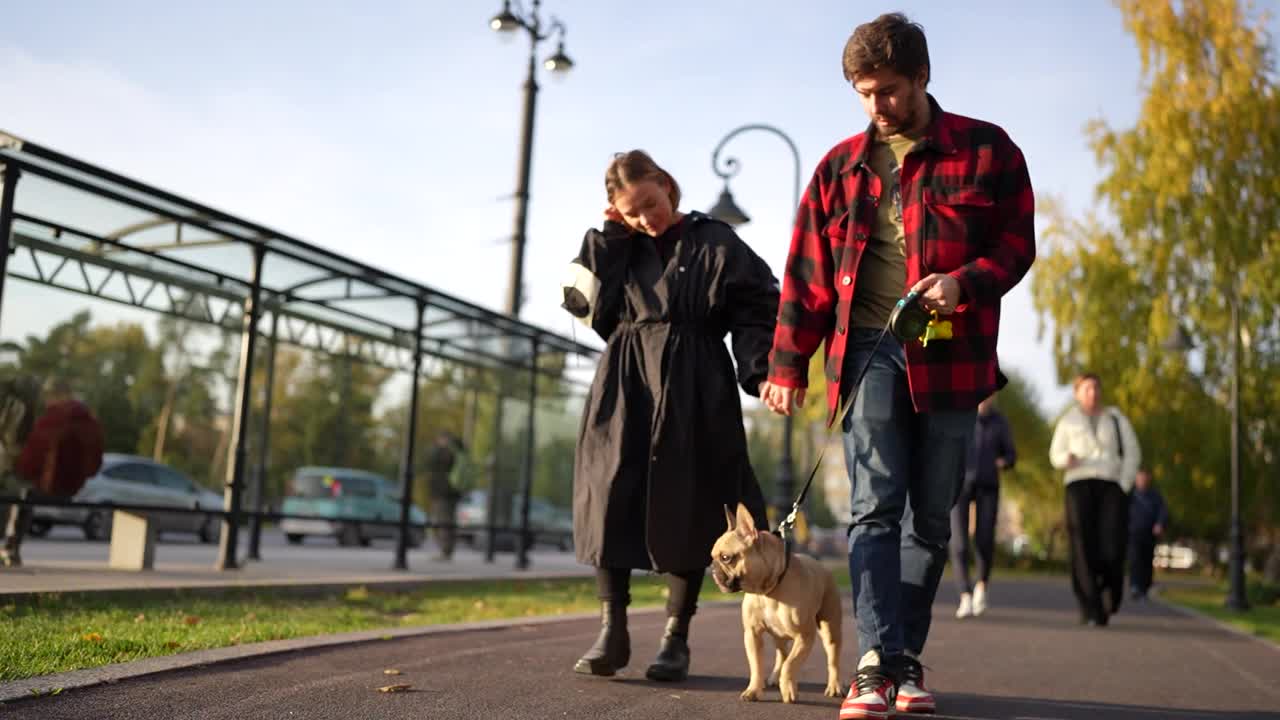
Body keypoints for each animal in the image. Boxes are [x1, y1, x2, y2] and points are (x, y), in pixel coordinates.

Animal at [706, 502, 844, 696]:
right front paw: (753, 690)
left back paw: (834, 686)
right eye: (712, 556)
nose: (712, 568)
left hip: (829, 628)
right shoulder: (752, 634)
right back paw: (774, 678)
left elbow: (791, 664)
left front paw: (788, 688)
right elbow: (756, 665)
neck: (767, 592)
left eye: (726, 558)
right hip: (778, 635)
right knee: (782, 654)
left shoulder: (805, 636)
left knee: (832, 658)